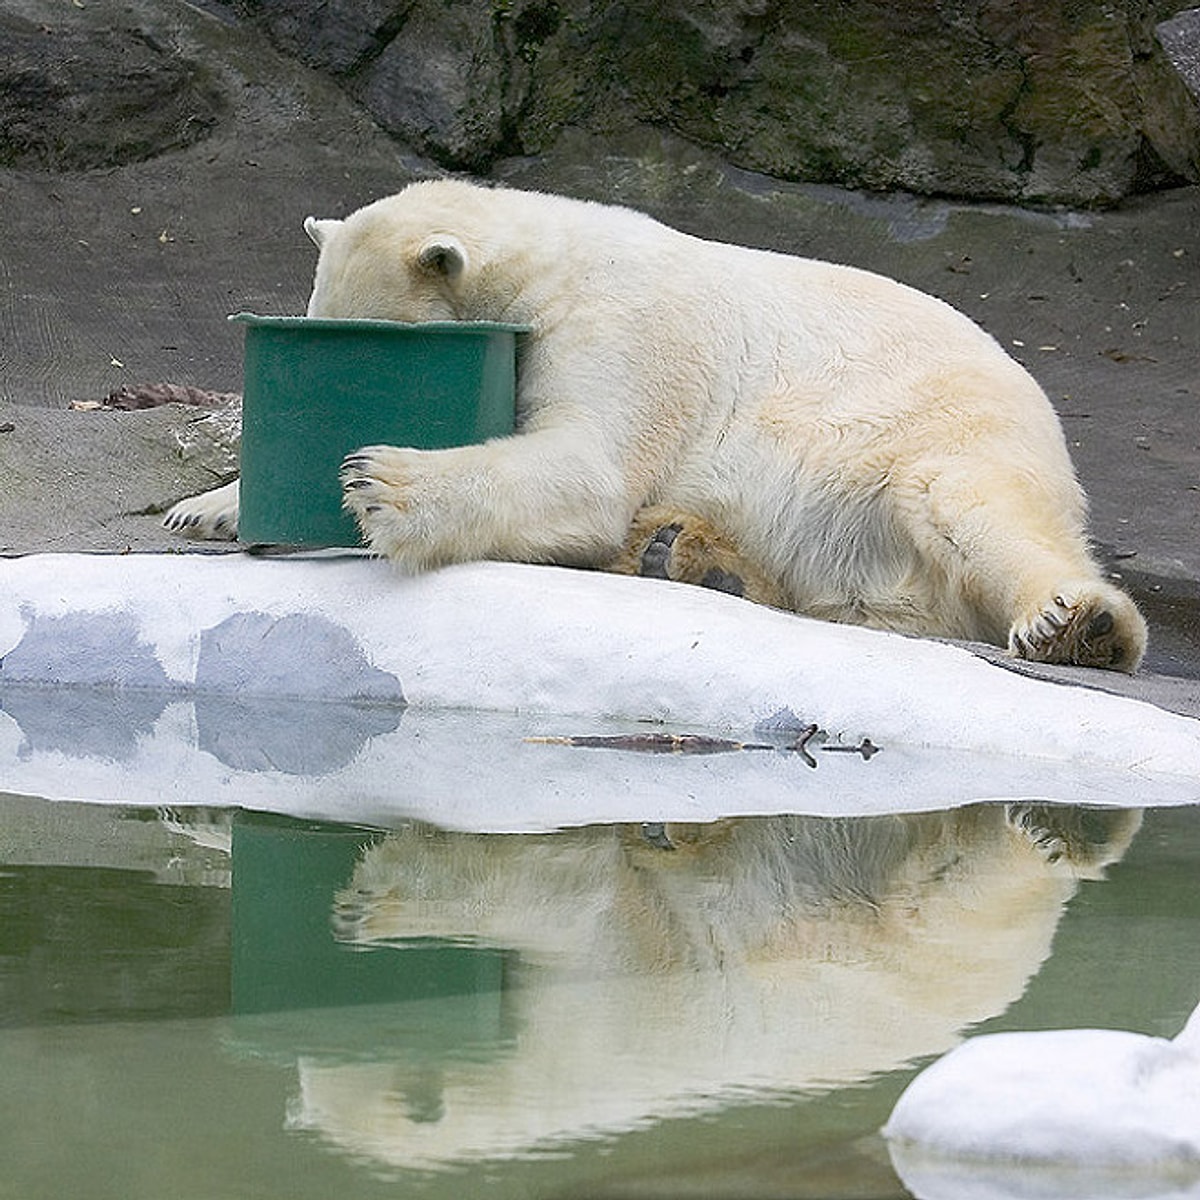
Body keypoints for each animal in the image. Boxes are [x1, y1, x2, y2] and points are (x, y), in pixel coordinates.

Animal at [164, 178, 1147, 672]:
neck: (553, 263)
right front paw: (206, 505)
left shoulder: (630, 326)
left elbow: (591, 466)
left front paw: (383, 481)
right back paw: (691, 556)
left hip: (933, 426)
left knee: (971, 509)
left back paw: (1078, 626)